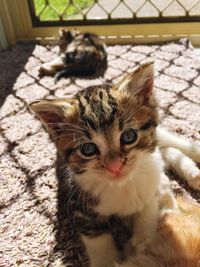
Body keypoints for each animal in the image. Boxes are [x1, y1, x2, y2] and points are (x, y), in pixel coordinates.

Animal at [30, 63, 200, 266]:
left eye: (129, 136)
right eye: (88, 149)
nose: (115, 166)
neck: (122, 186)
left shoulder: (149, 189)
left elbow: (149, 212)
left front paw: (143, 240)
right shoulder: (79, 206)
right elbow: (98, 241)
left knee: (170, 143)